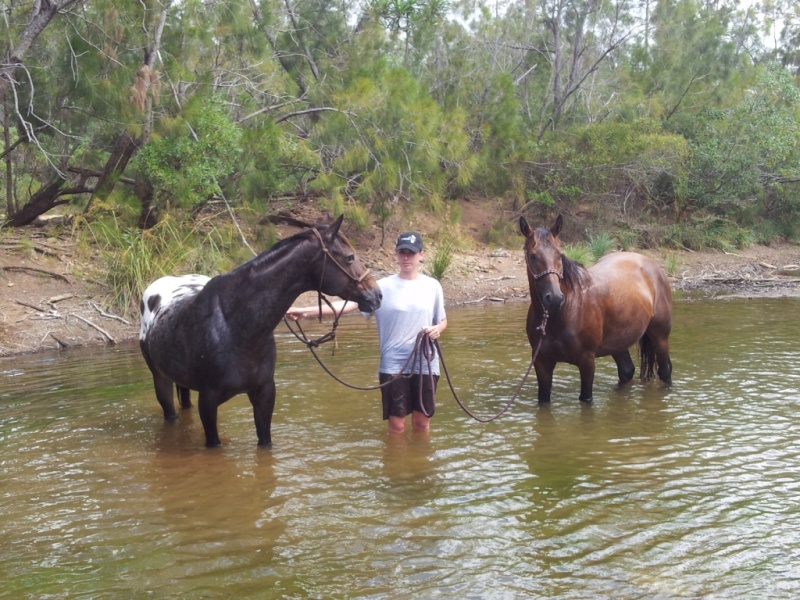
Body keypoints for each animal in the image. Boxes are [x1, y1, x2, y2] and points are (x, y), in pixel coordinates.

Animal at [140, 216, 382, 446]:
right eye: (349, 257)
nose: (377, 295)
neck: (236, 327)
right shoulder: (208, 402)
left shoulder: (265, 394)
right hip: (161, 380)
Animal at [520, 213, 672, 406]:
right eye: (532, 256)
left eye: (560, 255)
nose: (554, 298)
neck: (565, 312)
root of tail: (653, 266)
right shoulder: (541, 362)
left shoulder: (587, 361)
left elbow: (586, 398)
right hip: (619, 343)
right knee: (626, 371)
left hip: (660, 337)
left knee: (665, 371)